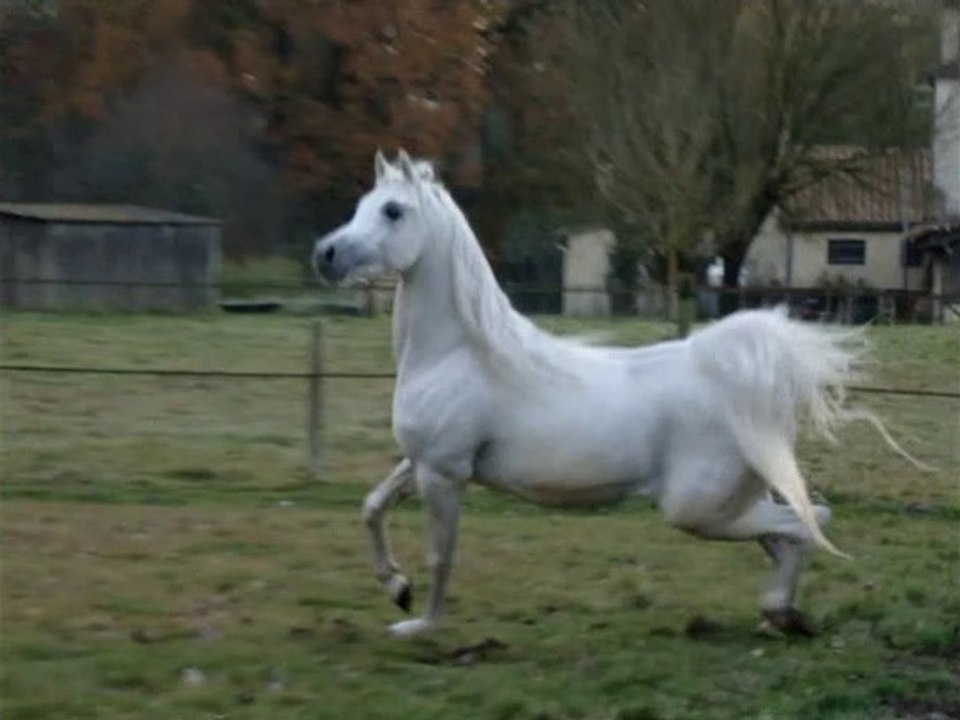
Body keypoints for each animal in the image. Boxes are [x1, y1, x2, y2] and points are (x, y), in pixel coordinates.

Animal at [312, 149, 924, 639]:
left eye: (393, 210)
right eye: (364, 202)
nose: (326, 254)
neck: (459, 353)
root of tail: (743, 383)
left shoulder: (444, 471)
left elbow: (442, 553)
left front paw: (419, 623)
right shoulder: (420, 461)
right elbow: (372, 506)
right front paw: (396, 588)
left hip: (696, 508)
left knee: (810, 522)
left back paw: (782, 611)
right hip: (735, 499)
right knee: (791, 533)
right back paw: (781, 615)